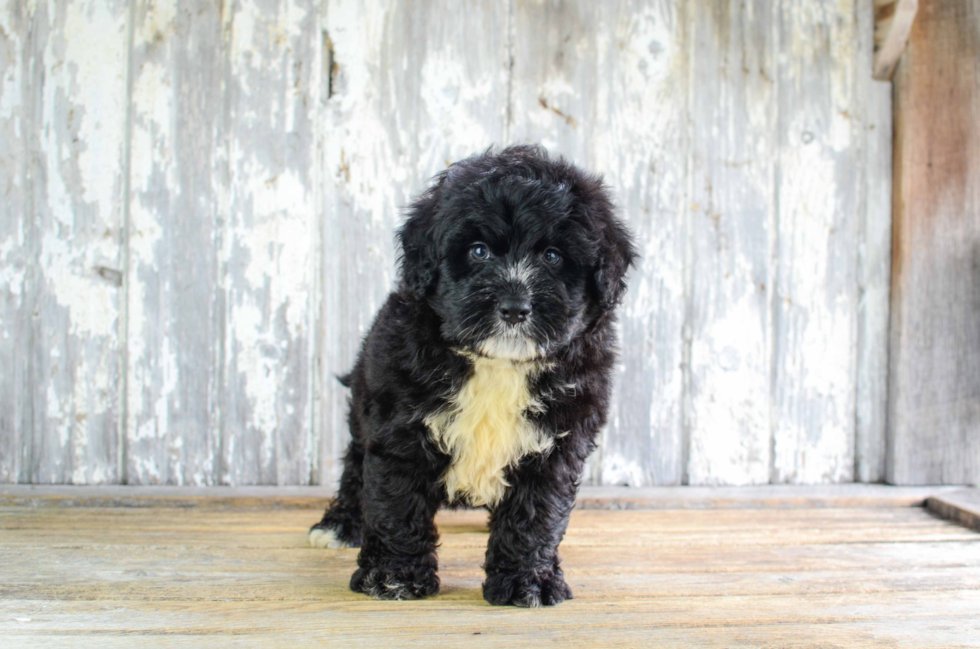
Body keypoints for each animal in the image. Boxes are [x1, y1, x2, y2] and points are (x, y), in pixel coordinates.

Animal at [310, 144, 640, 604]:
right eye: (479, 251)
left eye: (553, 256)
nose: (515, 308)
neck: (497, 364)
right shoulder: (400, 428)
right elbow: (395, 502)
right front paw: (394, 576)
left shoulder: (556, 442)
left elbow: (536, 515)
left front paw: (527, 581)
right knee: (355, 466)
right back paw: (339, 524)